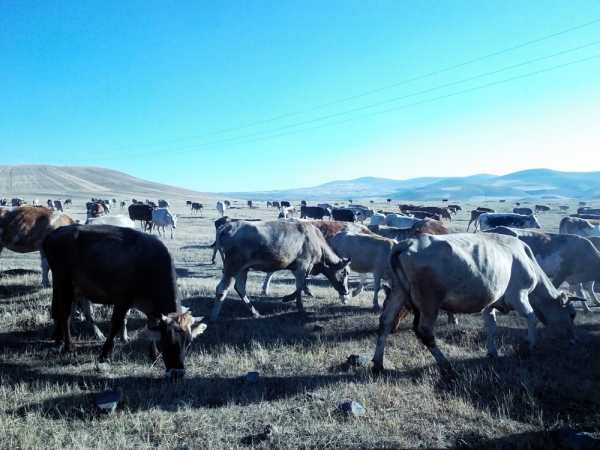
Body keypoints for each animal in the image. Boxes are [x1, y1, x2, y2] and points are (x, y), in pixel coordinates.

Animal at [42, 224, 206, 376]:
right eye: (166, 340)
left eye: (188, 342)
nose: (177, 373)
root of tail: (57, 232)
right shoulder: (122, 300)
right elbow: (115, 324)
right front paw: (105, 355)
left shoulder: (152, 309)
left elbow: (149, 327)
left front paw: (154, 355)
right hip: (63, 282)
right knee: (64, 313)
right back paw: (69, 347)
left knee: (60, 310)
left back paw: (58, 340)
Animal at [211, 220, 352, 318]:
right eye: (344, 273)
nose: (345, 291)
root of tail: (227, 226)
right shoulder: (302, 266)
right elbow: (299, 287)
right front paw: (298, 307)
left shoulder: (298, 268)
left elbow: (301, 285)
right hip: (233, 266)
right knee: (222, 289)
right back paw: (214, 317)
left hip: (243, 269)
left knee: (240, 287)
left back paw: (255, 312)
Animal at [372, 234, 580, 374]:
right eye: (572, 314)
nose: (573, 339)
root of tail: (408, 242)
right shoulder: (518, 295)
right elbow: (531, 317)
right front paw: (529, 346)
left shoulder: (490, 302)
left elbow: (492, 325)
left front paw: (492, 352)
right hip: (429, 300)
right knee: (424, 330)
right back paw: (445, 363)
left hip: (398, 291)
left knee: (385, 321)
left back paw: (378, 363)